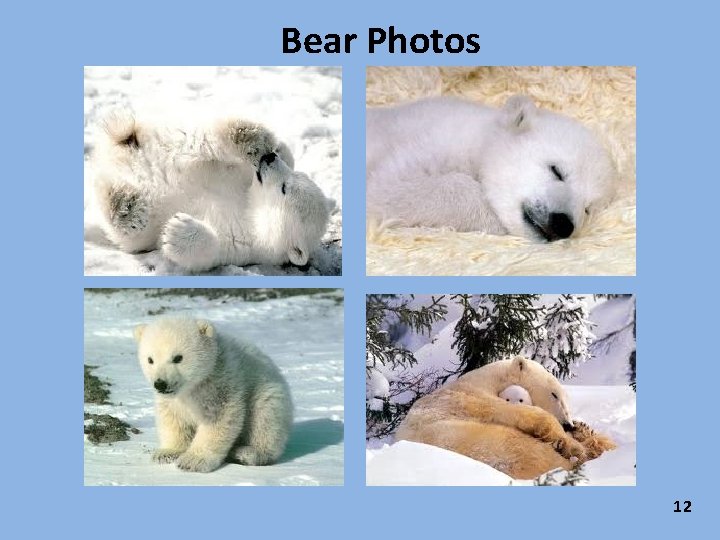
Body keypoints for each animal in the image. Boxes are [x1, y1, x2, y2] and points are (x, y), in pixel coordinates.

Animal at [91, 110, 331, 271]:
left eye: (284, 189)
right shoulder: (241, 177)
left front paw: (176, 230)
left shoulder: (245, 244)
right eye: (294, 177)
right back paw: (251, 137)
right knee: (201, 141)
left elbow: (209, 251)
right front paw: (276, 148)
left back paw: (125, 206)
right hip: (174, 142)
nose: (269, 158)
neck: (250, 207)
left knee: (128, 221)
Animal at [134, 318, 293, 472]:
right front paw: (166, 453)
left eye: (178, 358)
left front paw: (193, 461)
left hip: (267, 393)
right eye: (150, 359)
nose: (160, 384)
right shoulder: (173, 400)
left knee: (265, 420)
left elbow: (217, 419)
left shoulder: (219, 383)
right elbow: (173, 419)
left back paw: (247, 453)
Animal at [395, 356, 615, 480]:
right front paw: (568, 442)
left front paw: (576, 431)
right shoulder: (470, 399)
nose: (567, 424)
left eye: (566, 399)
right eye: (554, 394)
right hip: (492, 444)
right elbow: (522, 414)